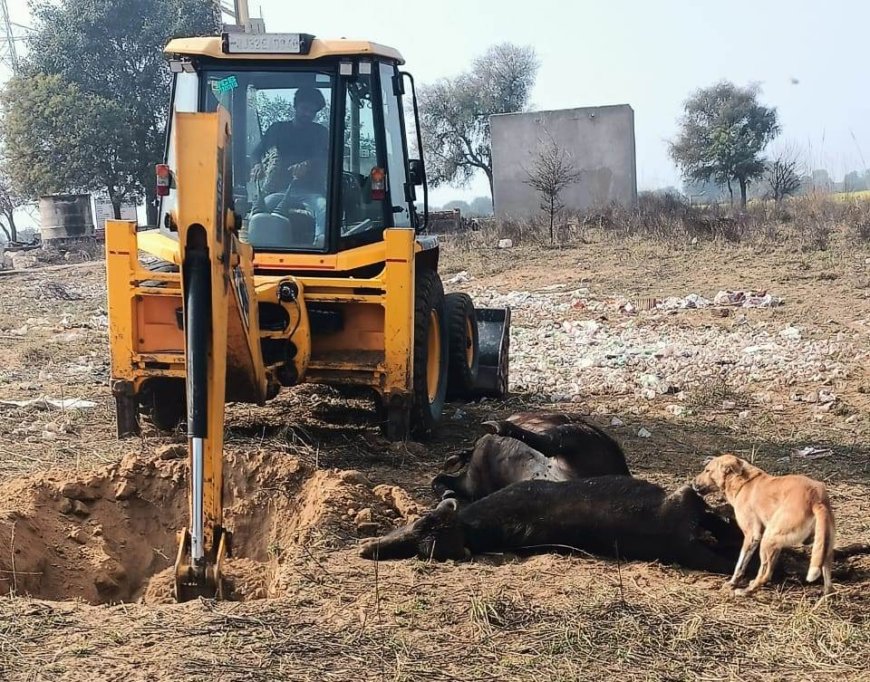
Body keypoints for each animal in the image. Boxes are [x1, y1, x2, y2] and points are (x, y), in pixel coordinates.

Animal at [696, 454, 836, 592]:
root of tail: (816, 498)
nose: (693, 482)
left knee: (765, 575)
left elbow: (740, 565)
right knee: (828, 584)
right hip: (823, 547)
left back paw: (747, 590)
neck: (743, 482)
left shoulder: (752, 536)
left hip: (768, 540)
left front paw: (733, 583)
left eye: (707, 470)